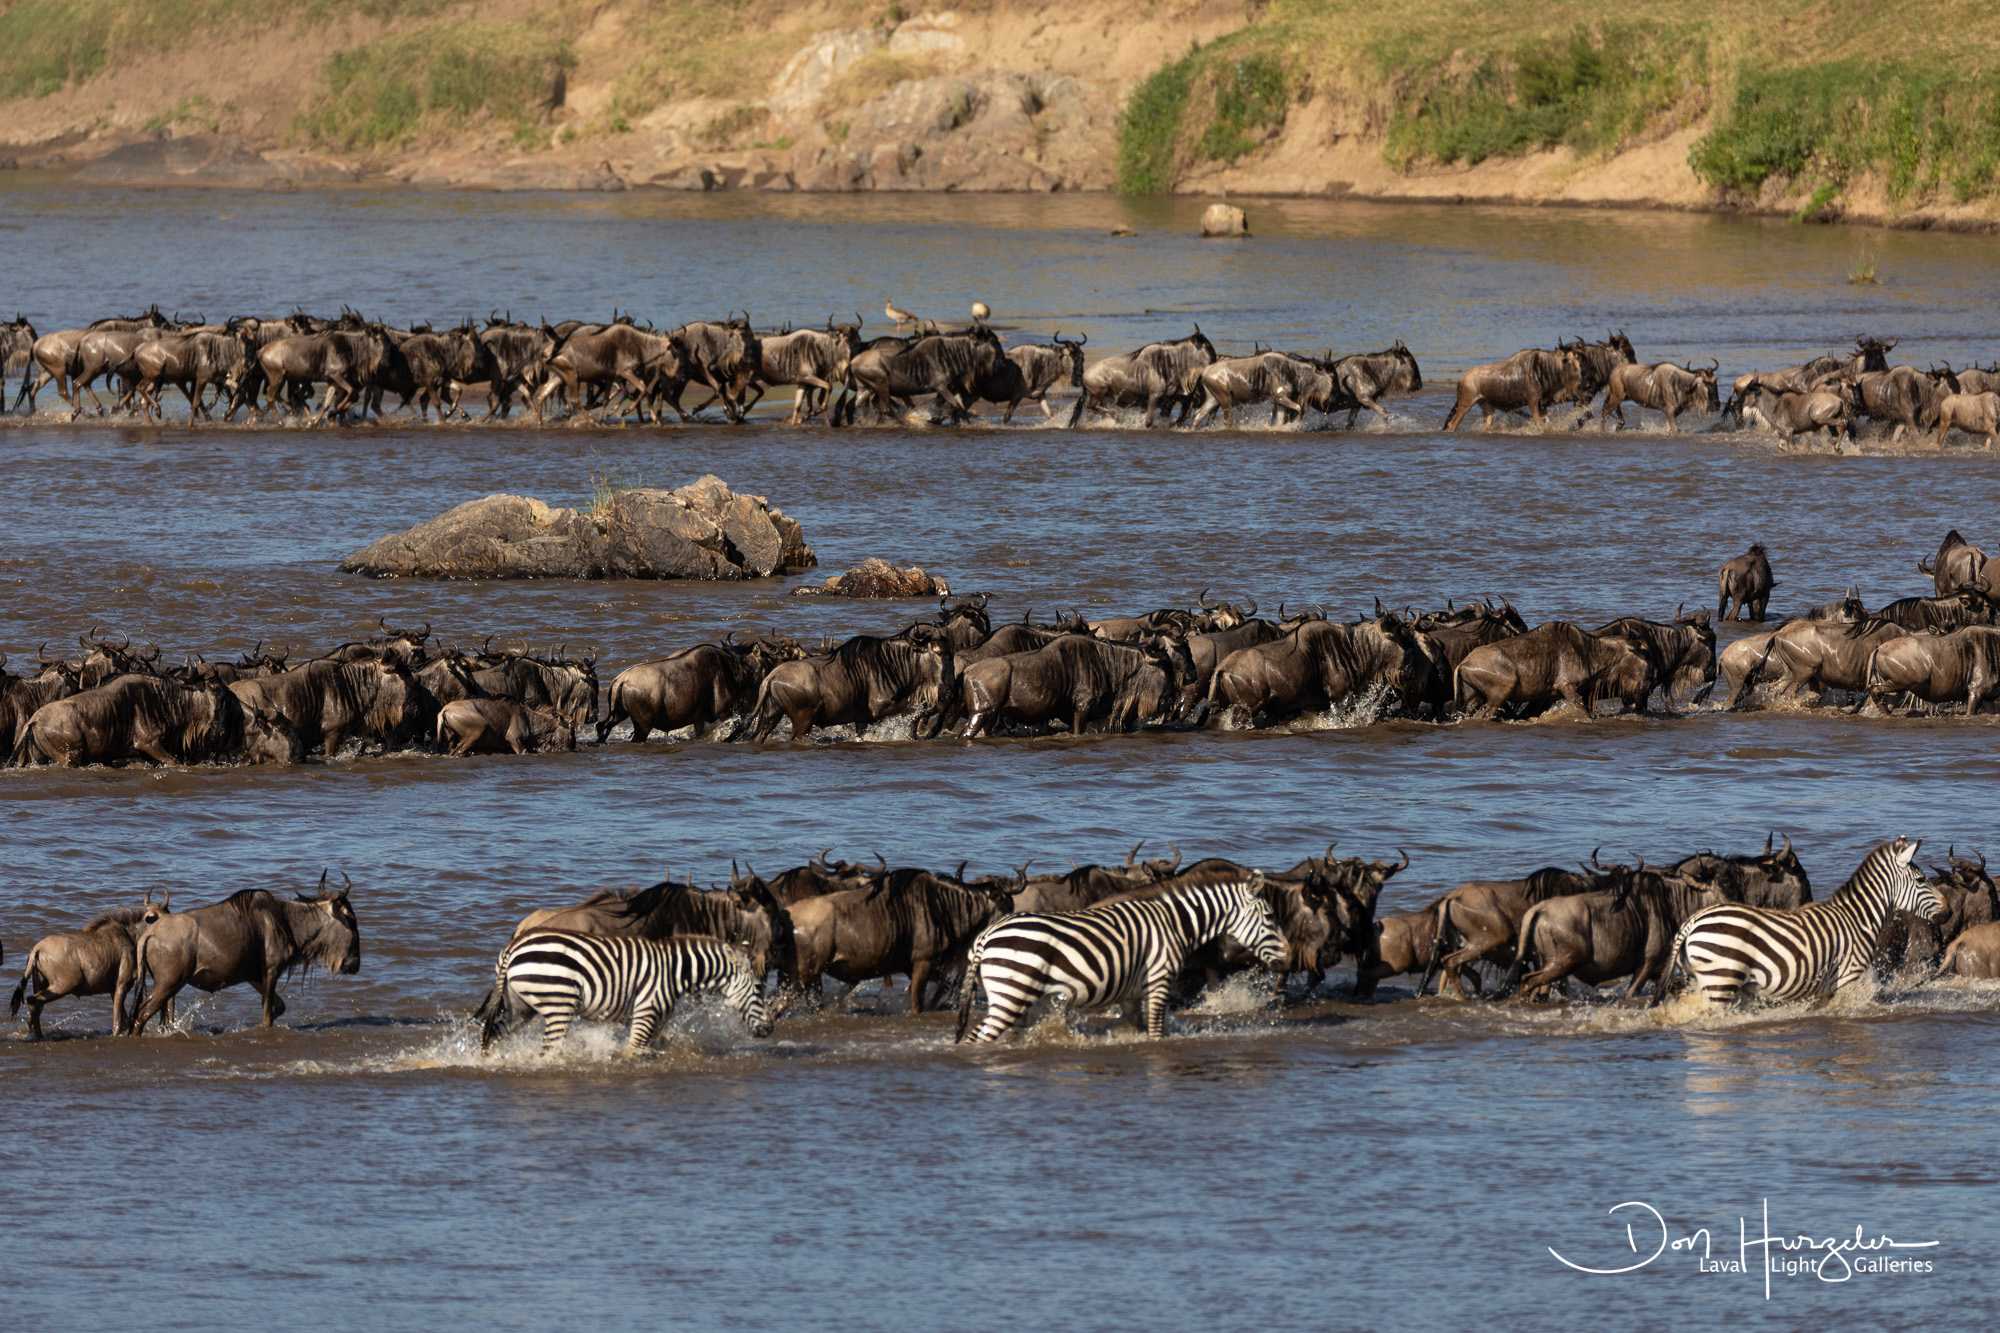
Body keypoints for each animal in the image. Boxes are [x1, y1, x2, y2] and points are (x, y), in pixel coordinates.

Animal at [476, 928, 772, 1056]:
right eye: (759, 988)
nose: (769, 1030)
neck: (675, 972)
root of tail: (513, 947)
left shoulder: (657, 1018)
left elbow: (655, 1045)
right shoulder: (646, 1010)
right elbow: (635, 1050)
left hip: (519, 1005)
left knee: (492, 1036)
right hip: (559, 1003)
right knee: (549, 1050)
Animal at [948, 872, 1280, 1040]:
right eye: (1271, 916)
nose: (1287, 958)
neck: (1175, 924)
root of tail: (987, 935)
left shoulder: (1132, 992)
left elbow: (1137, 1027)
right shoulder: (1159, 980)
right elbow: (1156, 1032)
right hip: (1011, 993)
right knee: (980, 1037)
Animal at [1672, 836, 1936, 1000]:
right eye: (1922, 880)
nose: (1945, 909)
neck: (1858, 918)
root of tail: (1693, 921)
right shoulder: (1849, 978)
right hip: (1721, 979)